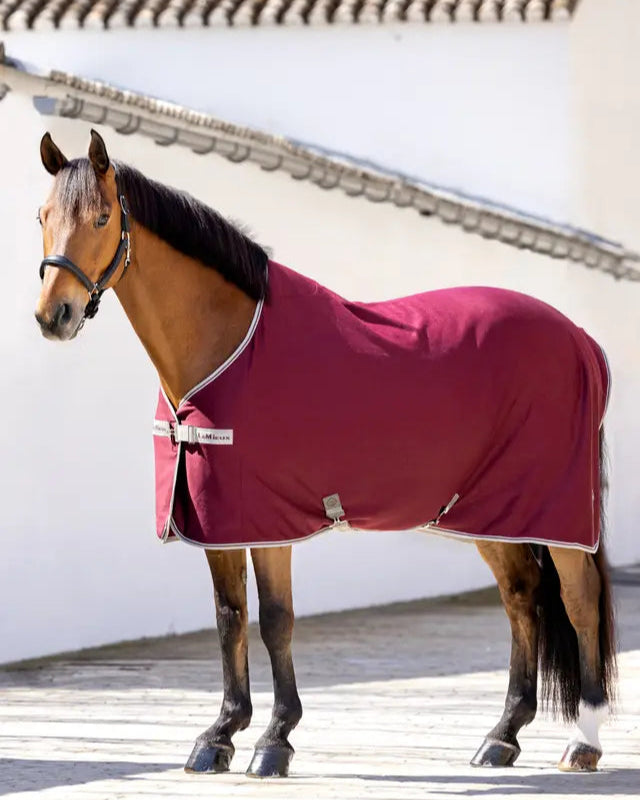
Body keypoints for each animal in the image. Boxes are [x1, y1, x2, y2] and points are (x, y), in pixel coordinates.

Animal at [34, 130, 616, 778]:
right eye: (42, 216)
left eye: (102, 217)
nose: (53, 315)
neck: (230, 344)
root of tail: (581, 340)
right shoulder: (217, 520)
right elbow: (229, 617)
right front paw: (219, 735)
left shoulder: (268, 519)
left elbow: (275, 621)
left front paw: (274, 740)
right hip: (490, 511)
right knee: (522, 597)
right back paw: (502, 736)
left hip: (556, 511)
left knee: (579, 600)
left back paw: (584, 741)